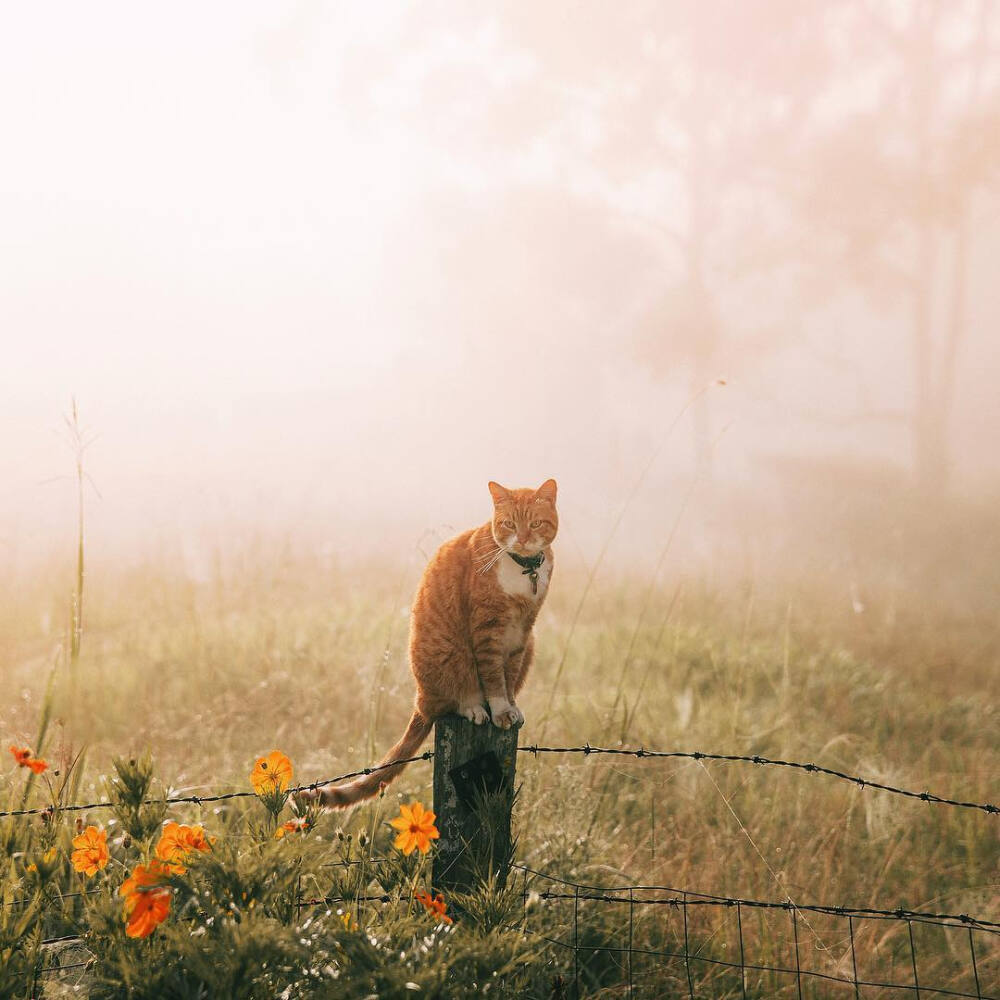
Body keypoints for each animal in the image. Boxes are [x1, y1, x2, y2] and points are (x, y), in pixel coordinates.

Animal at [312, 476, 560, 804]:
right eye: (508, 523)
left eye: (534, 523)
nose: (520, 539)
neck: (523, 569)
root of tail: (421, 701)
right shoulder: (487, 629)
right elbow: (494, 676)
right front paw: (500, 710)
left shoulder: (522, 631)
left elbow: (508, 674)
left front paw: (510, 705)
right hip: (451, 656)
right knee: (455, 698)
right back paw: (474, 708)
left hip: (530, 643)